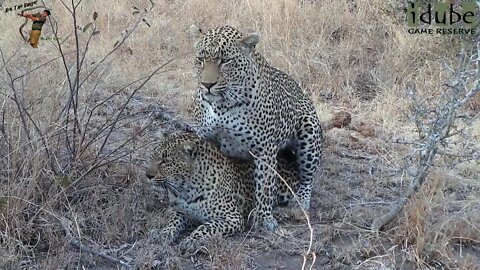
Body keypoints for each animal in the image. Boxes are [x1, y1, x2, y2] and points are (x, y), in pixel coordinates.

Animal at [144, 132, 298, 252]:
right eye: (153, 156)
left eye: (165, 161)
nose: (148, 175)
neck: (185, 189)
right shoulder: (180, 212)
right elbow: (172, 222)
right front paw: (162, 233)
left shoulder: (232, 217)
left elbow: (206, 226)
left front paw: (191, 240)